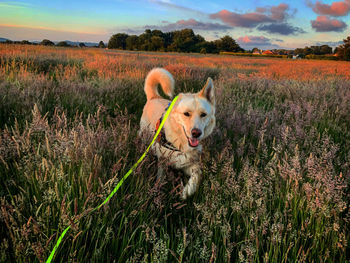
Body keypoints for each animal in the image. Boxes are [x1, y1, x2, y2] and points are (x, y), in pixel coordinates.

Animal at [139, 68, 216, 200]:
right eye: (186, 114)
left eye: (203, 114)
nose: (196, 133)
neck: (180, 143)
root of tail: (154, 97)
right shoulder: (163, 161)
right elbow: (160, 178)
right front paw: (158, 192)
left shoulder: (189, 163)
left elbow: (197, 174)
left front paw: (186, 192)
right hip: (145, 134)